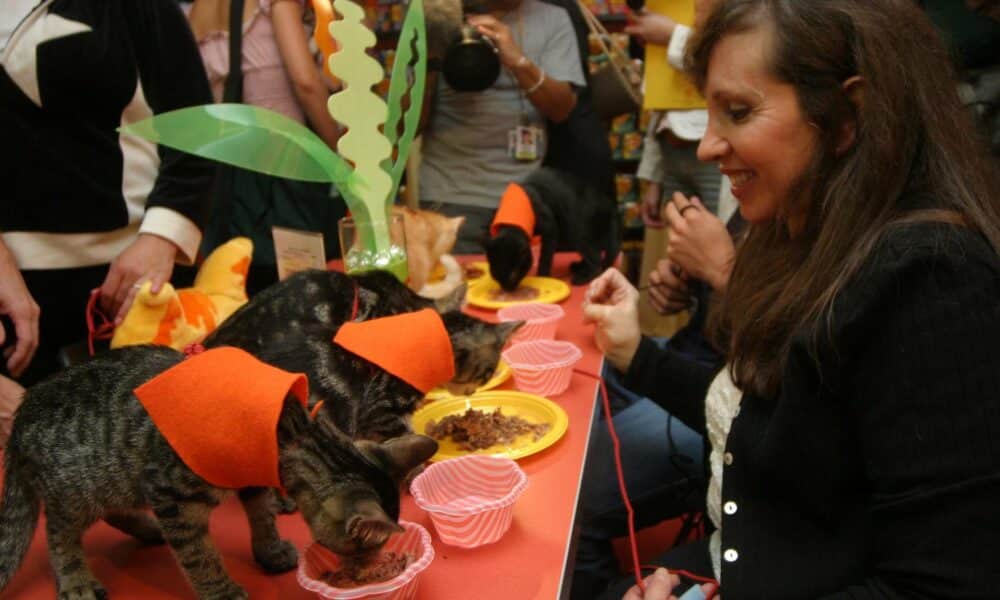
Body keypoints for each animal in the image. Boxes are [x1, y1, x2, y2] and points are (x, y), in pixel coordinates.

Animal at [0, 346, 438, 600]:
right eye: (364, 548)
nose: (370, 566)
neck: (288, 434)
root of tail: (21, 415)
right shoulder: (172, 496)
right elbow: (198, 554)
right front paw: (220, 590)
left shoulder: (251, 476)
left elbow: (261, 515)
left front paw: (269, 549)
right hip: (79, 487)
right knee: (59, 533)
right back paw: (75, 578)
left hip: (115, 481)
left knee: (114, 511)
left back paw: (147, 529)